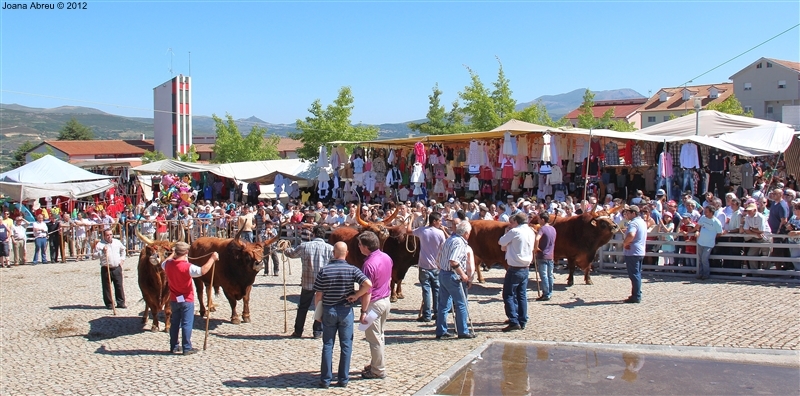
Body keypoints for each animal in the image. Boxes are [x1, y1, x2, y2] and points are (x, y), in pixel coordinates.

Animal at [468, 209, 620, 286]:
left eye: (610, 218)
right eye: (603, 223)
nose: (615, 226)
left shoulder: (589, 255)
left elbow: (587, 268)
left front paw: (588, 280)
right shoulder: (571, 255)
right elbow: (572, 268)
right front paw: (570, 281)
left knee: (477, 264)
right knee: (477, 264)